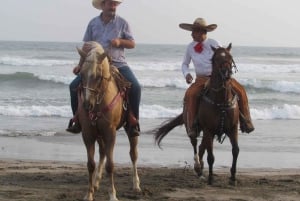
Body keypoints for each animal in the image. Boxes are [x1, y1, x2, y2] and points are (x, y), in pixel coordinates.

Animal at [75, 41, 141, 200]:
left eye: (98, 76)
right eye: (81, 74)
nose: (87, 104)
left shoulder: (110, 133)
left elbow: (110, 165)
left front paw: (112, 195)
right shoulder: (88, 133)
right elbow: (90, 164)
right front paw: (89, 194)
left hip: (130, 130)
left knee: (133, 154)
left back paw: (136, 185)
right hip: (99, 134)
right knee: (102, 152)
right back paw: (96, 182)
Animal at [154, 44, 240, 185]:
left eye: (230, 57)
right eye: (215, 59)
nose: (227, 73)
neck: (221, 100)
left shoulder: (232, 128)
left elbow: (235, 150)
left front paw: (233, 178)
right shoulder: (209, 130)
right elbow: (211, 156)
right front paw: (210, 178)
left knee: (201, 146)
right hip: (193, 128)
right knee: (195, 143)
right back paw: (198, 167)